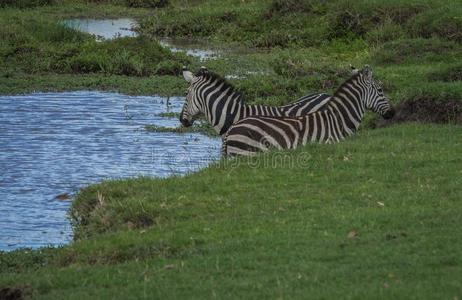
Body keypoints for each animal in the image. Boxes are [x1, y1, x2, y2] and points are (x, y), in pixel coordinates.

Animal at [223, 65, 394, 157]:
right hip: (248, 154)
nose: (392, 113)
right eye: (380, 90)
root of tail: (233, 128)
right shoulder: (329, 144)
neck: (338, 121)